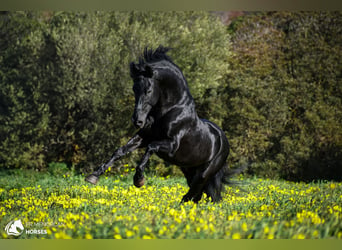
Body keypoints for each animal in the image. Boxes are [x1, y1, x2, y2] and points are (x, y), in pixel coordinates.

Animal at [85, 45, 236, 203]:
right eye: (134, 88)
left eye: (148, 90)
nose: (137, 120)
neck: (170, 110)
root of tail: (223, 139)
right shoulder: (143, 137)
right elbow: (120, 150)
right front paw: (93, 176)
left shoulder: (171, 145)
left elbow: (150, 148)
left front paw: (138, 180)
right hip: (189, 170)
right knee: (198, 193)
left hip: (205, 172)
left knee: (196, 191)